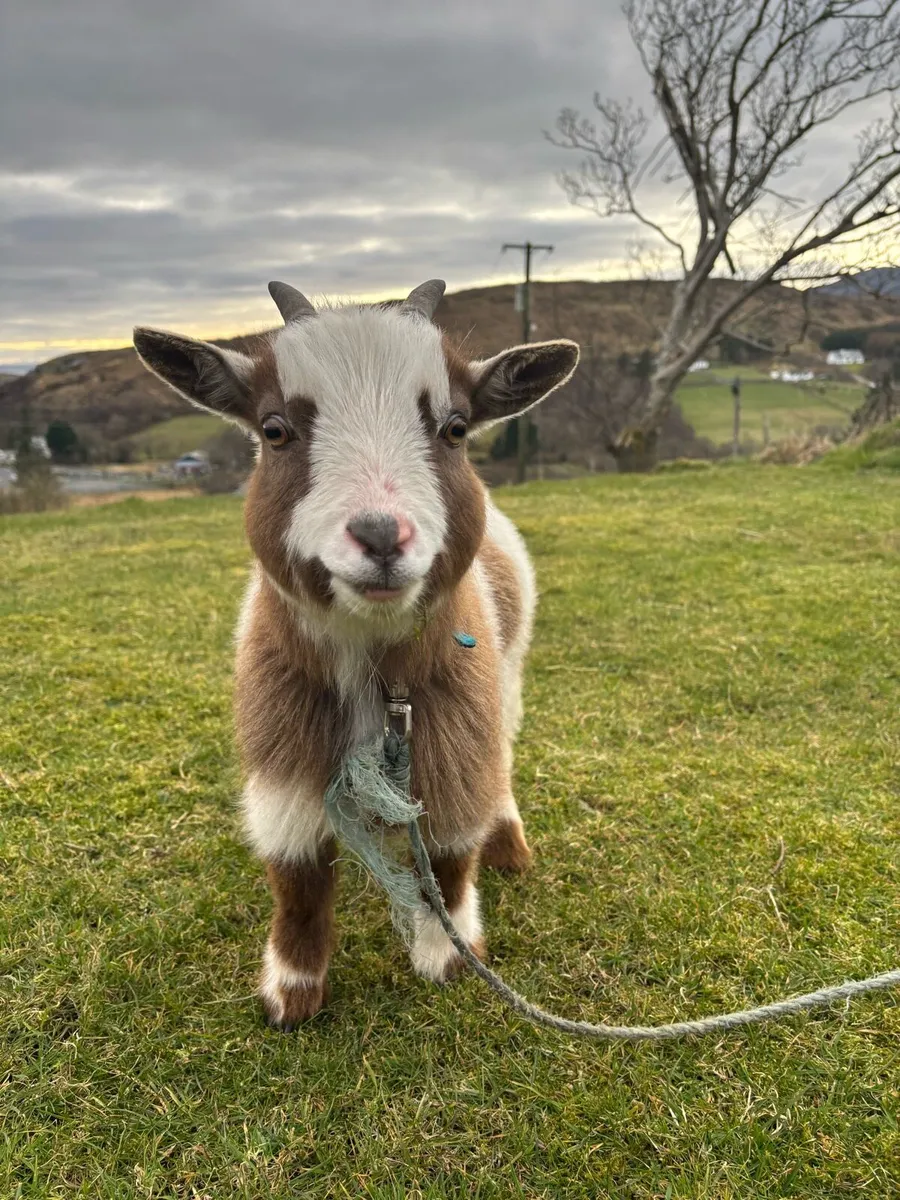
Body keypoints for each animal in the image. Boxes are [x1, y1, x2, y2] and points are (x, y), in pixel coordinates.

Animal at [134, 280, 578, 1029]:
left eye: (456, 428)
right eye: (274, 429)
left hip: (508, 675)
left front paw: (448, 954)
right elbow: (298, 874)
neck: (374, 664)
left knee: (503, 761)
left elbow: (450, 851)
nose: (379, 536)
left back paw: (508, 841)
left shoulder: (455, 723)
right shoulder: (285, 739)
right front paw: (292, 990)